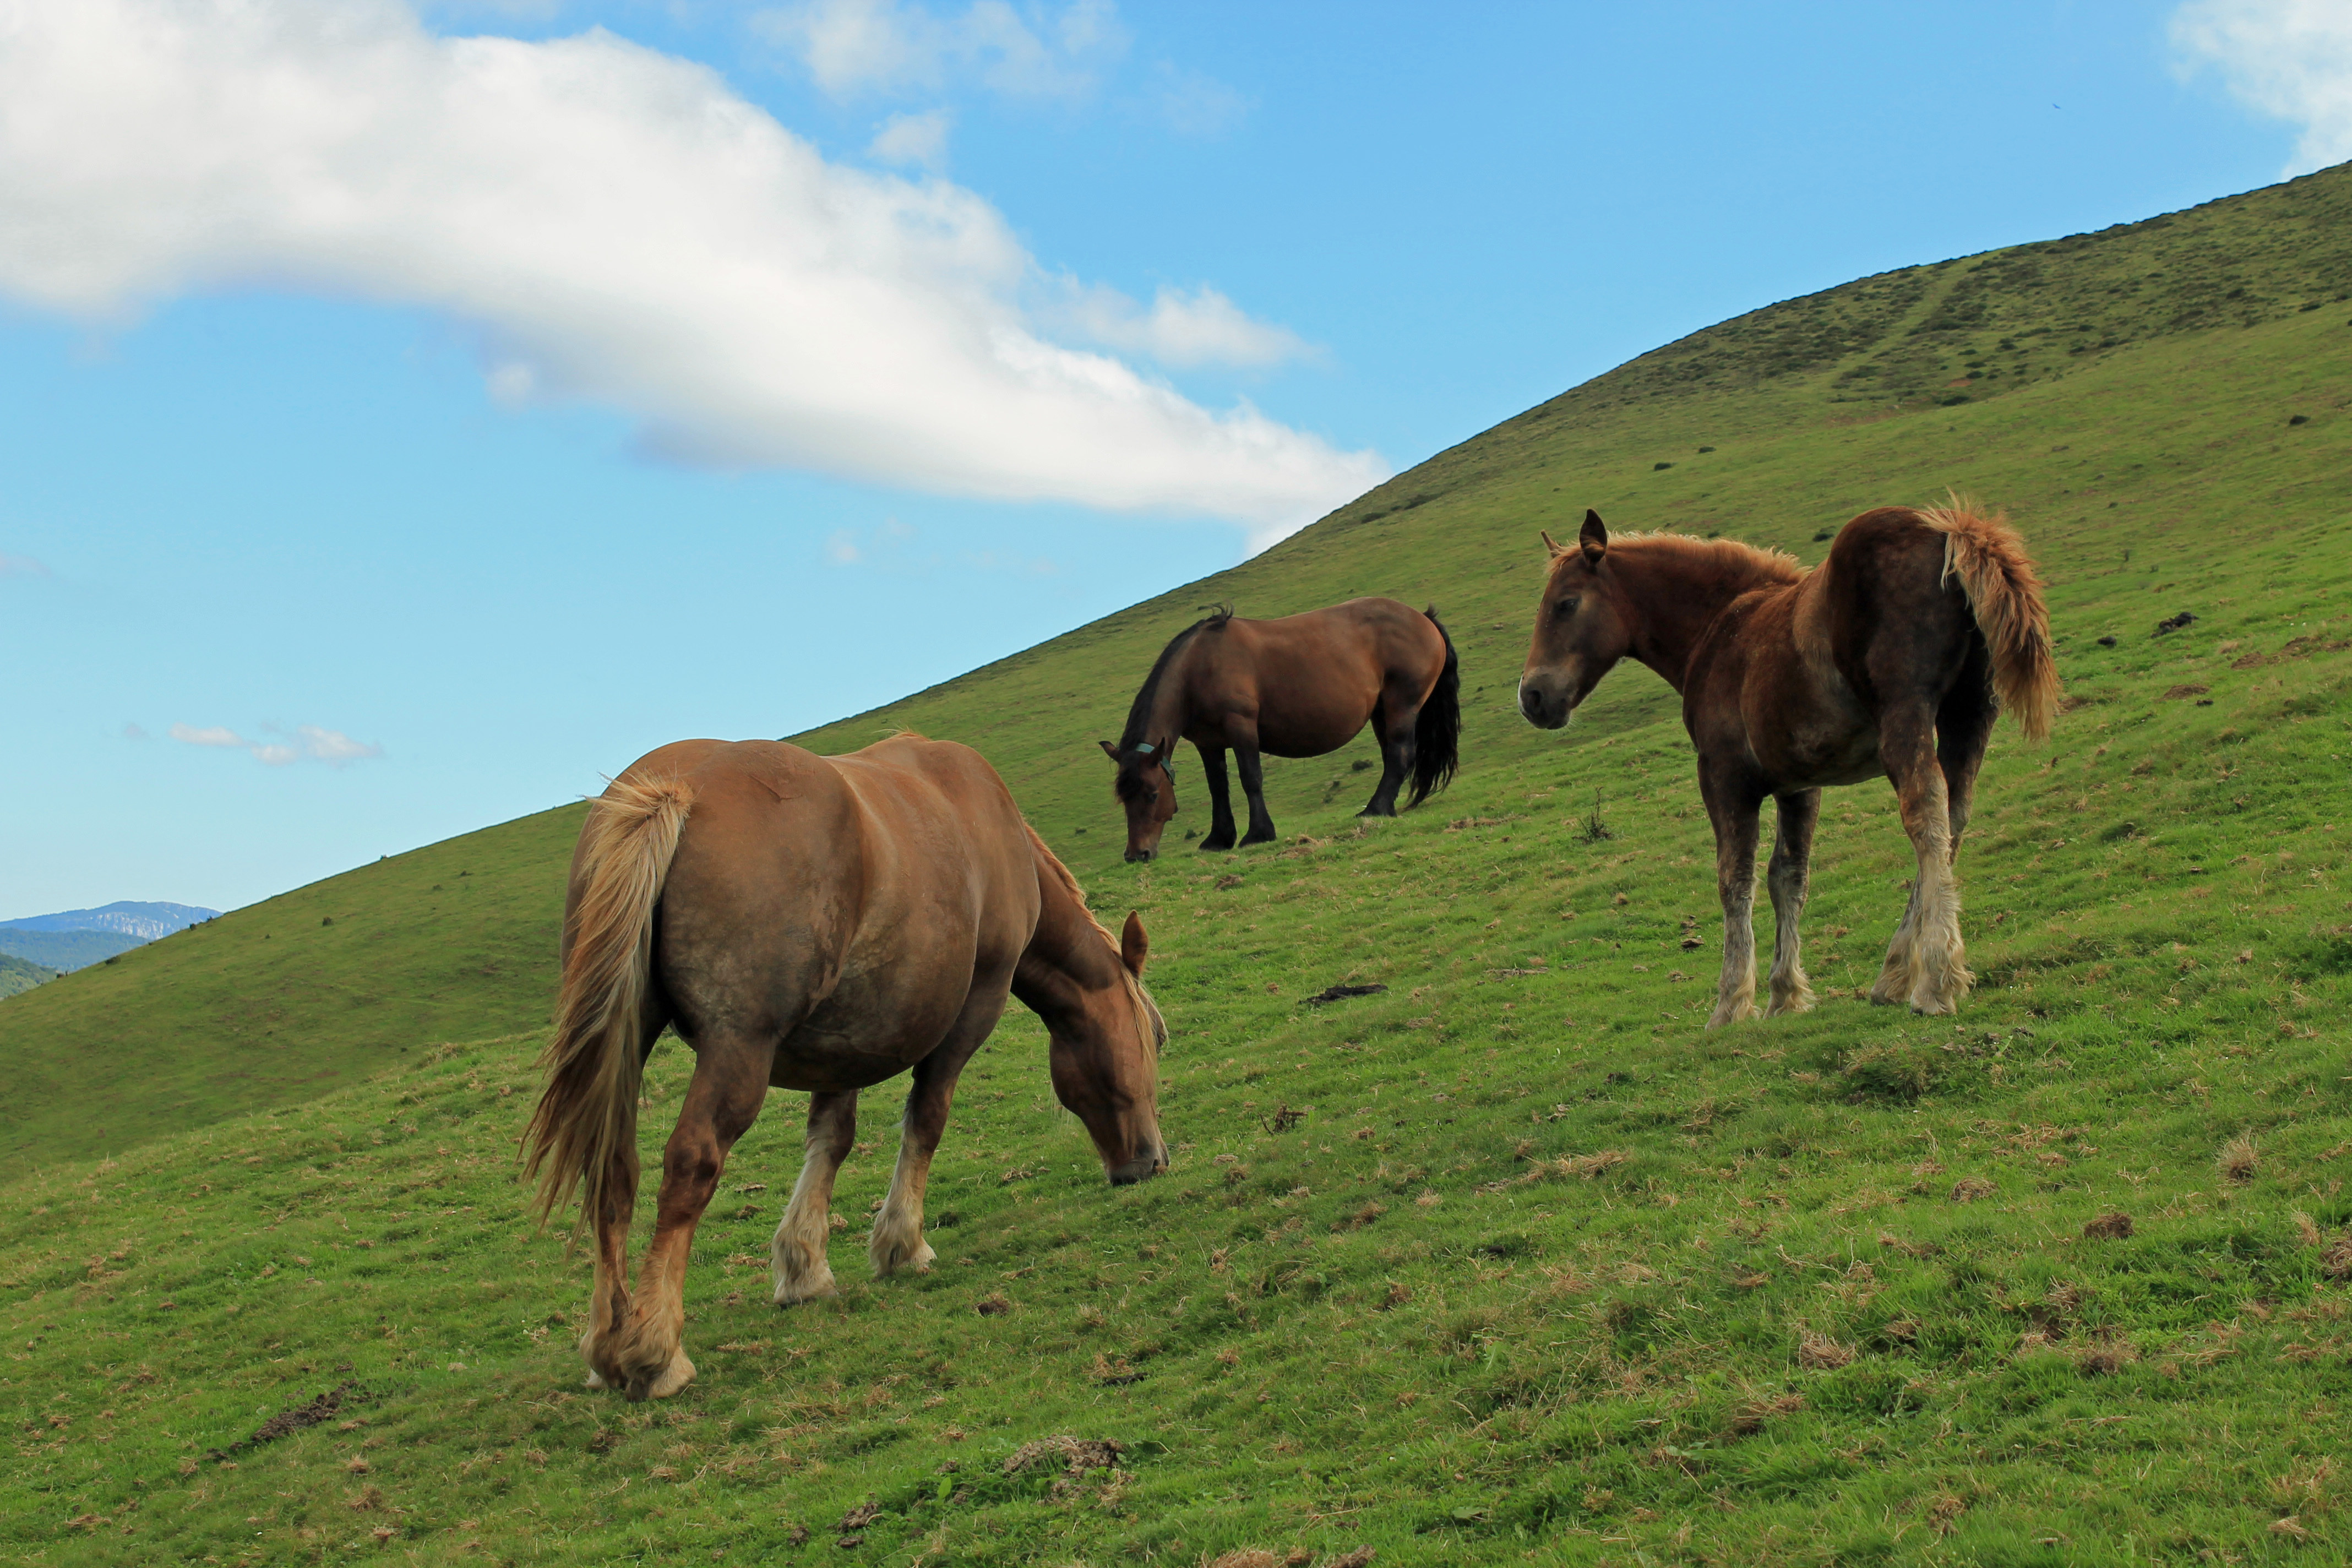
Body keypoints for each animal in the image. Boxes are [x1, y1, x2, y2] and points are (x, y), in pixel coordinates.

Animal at [524, 728, 1166, 1401]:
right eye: (1156, 1038)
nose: (1151, 1160)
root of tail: (678, 786)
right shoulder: (975, 1007)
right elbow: (927, 1120)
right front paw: (902, 1244)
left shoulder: (847, 1038)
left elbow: (832, 1138)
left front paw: (804, 1266)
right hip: (738, 1048)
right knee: (691, 1162)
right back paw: (655, 1350)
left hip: (626, 1038)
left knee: (613, 1170)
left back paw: (608, 1343)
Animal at [1096, 597, 1449, 865]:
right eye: (1123, 798)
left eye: (1153, 794)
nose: (1137, 854)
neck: (1199, 667)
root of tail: (1423, 618)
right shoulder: (1208, 743)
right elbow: (1218, 788)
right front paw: (1219, 838)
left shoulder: (1241, 728)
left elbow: (1251, 779)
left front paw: (1258, 834)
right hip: (1381, 713)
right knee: (1392, 757)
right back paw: (1385, 808)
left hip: (1402, 706)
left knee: (1400, 755)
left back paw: (1374, 810)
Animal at [1515, 496, 2051, 1025]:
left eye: (1566, 604)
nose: (1532, 698)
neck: (1719, 628)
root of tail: (1948, 530)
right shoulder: (1799, 784)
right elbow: (1788, 876)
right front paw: (1784, 994)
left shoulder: (1724, 776)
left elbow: (1735, 879)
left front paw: (1731, 1004)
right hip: (1970, 714)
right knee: (1954, 818)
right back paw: (1894, 975)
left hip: (1907, 715)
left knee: (1926, 816)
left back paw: (1934, 981)